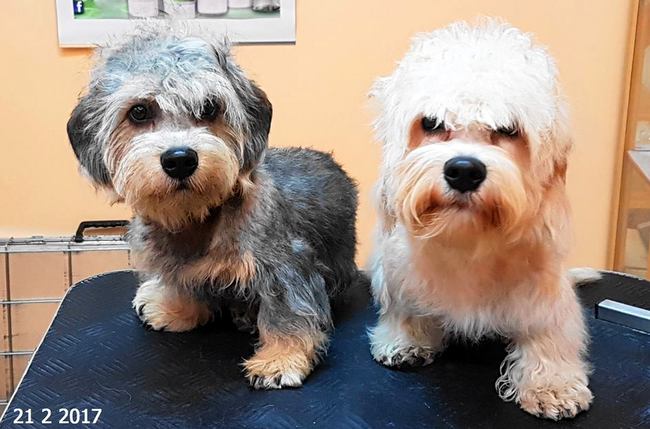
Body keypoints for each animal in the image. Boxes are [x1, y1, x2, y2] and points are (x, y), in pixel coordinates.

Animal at [66, 24, 358, 389]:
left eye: (208, 107)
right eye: (139, 111)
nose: (180, 160)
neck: (198, 218)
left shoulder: (287, 265)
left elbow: (288, 313)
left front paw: (281, 358)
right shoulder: (178, 265)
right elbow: (184, 285)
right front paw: (176, 309)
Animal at [368, 20, 594, 419]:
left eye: (508, 130)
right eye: (431, 123)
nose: (463, 171)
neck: (468, 241)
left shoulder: (544, 289)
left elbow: (549, 332)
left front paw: (551, 383)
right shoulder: (397, 274)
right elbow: (404, 310)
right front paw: (405, 341)